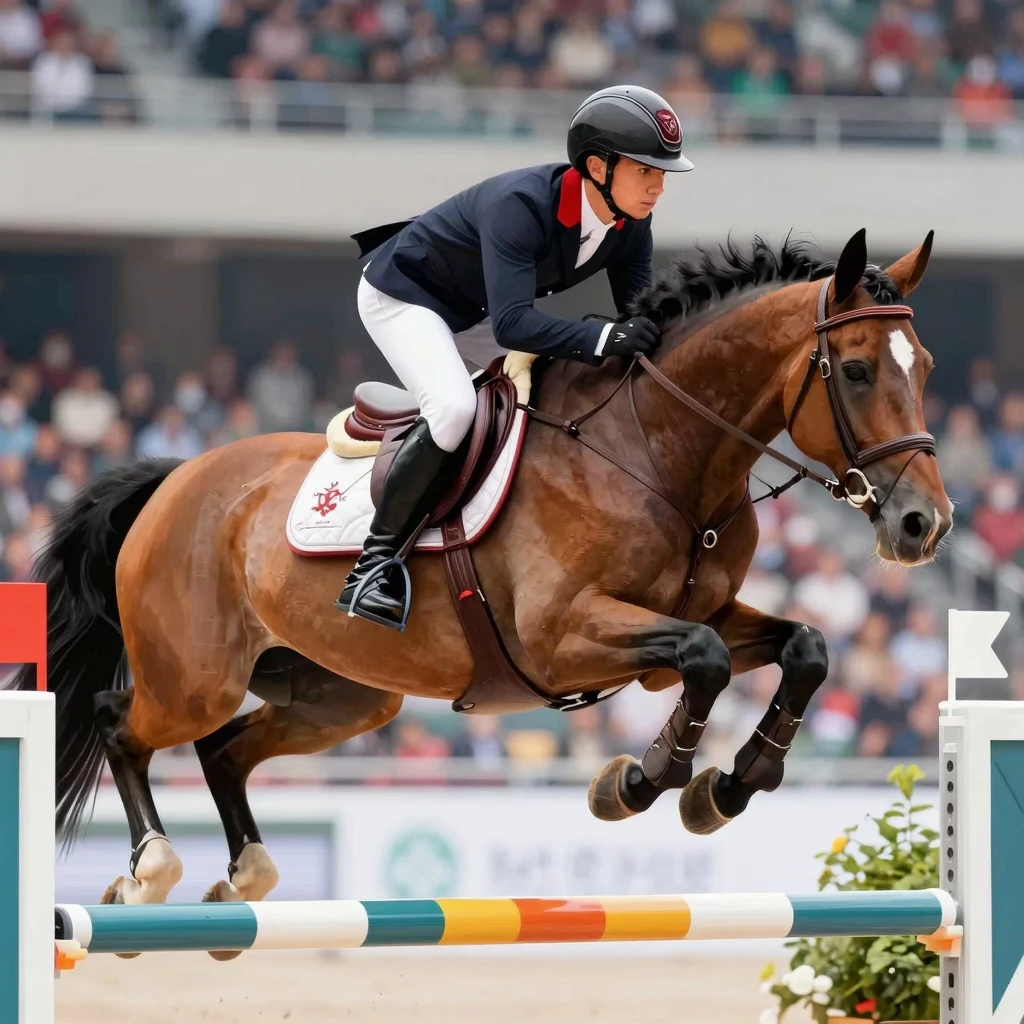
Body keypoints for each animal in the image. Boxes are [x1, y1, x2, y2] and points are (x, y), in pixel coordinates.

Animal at [13, 227, 951, 938]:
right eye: (857, 370)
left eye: (928, 368)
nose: (925, 525)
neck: (662, 453)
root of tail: (176, 479)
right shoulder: (564, 637)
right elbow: (706, 660)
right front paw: (639, 783)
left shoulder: (698, 619)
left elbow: (804, 648)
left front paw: (725, 788)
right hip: (195, 676)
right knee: (121, 722)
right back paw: (150, 871)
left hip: (341, 694)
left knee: (225, 749)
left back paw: (242, 875)